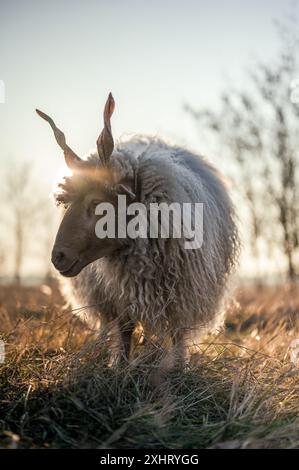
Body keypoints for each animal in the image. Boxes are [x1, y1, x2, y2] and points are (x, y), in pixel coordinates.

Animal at [36, 93, 240, 366]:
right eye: (67, 205)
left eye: (96, 203)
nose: (57, 257)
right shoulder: (119, 294)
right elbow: (124, 328)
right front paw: (120, 365)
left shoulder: (181, 294)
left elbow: (177, 331)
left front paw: (179, 366)